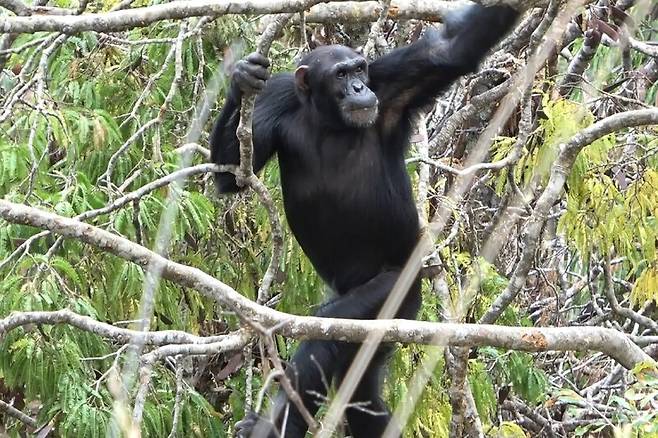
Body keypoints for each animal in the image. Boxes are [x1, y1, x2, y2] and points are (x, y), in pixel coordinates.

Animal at [210, 4, 516, 438]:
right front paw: (242, 76)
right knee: (361, 386)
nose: (358, 88)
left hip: (399, 293)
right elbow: (232, 175)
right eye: (340, 74)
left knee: (327, 331)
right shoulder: (279, 93)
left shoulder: (389, 84)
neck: (327, 117)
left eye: (359, 69)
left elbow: (450, 50)